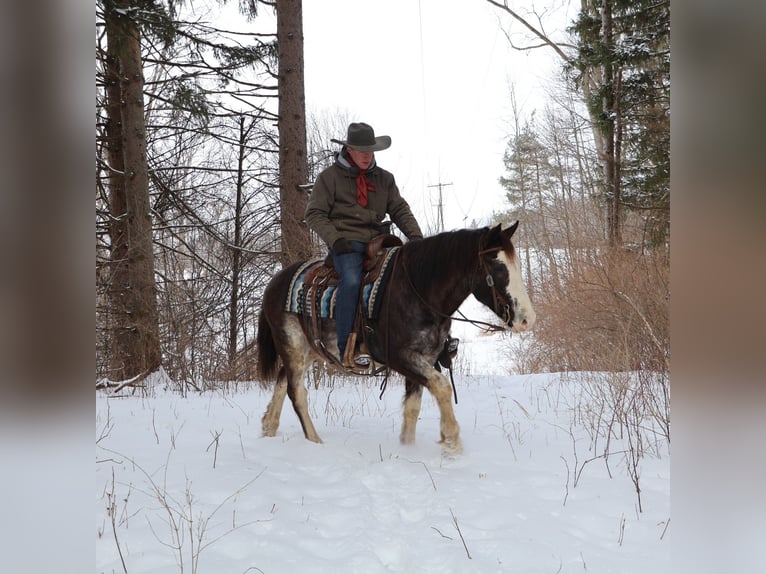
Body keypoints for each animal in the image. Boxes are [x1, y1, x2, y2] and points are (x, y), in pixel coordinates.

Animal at [255, 221, 536, 454]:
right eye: (498, 267)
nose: (527, 319)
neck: (419, 290)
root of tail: (274, 282)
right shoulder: (401, 357)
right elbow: (442, 387)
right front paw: (451, 441)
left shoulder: (426, 358)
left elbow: (413, 406)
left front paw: (408, 448)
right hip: (292, 345)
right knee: (296, 392)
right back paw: (314, 442)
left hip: (309, 349)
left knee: (282, 379)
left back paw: (268, 426)